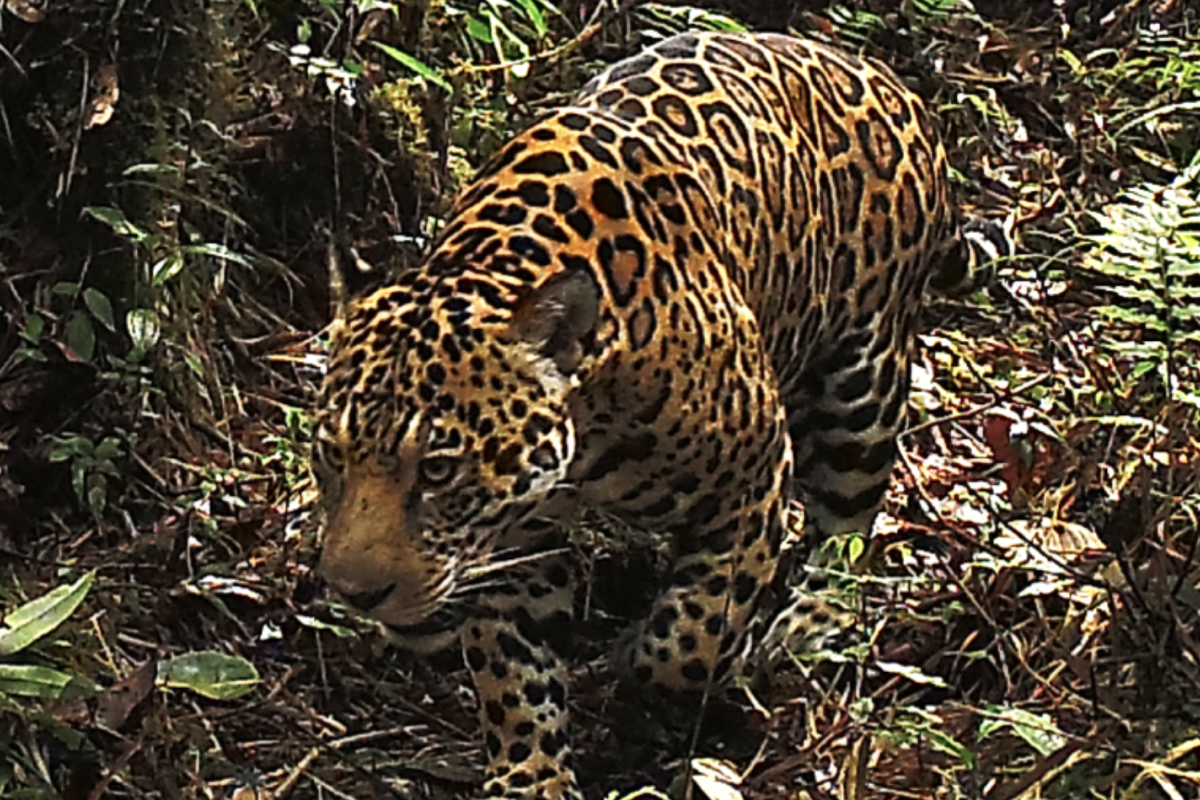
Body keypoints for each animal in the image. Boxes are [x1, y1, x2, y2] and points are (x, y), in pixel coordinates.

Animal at [312, 30, 1011, 800]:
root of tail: (885, 78)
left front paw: (657, 668)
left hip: (862, 383)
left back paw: (805, 623)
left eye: (438, 470)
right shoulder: (515, 538)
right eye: (330, 454)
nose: (355, 593)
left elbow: (694, 632)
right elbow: (515, 674)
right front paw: (531, 773)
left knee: (851, 525)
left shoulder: (754, 476)